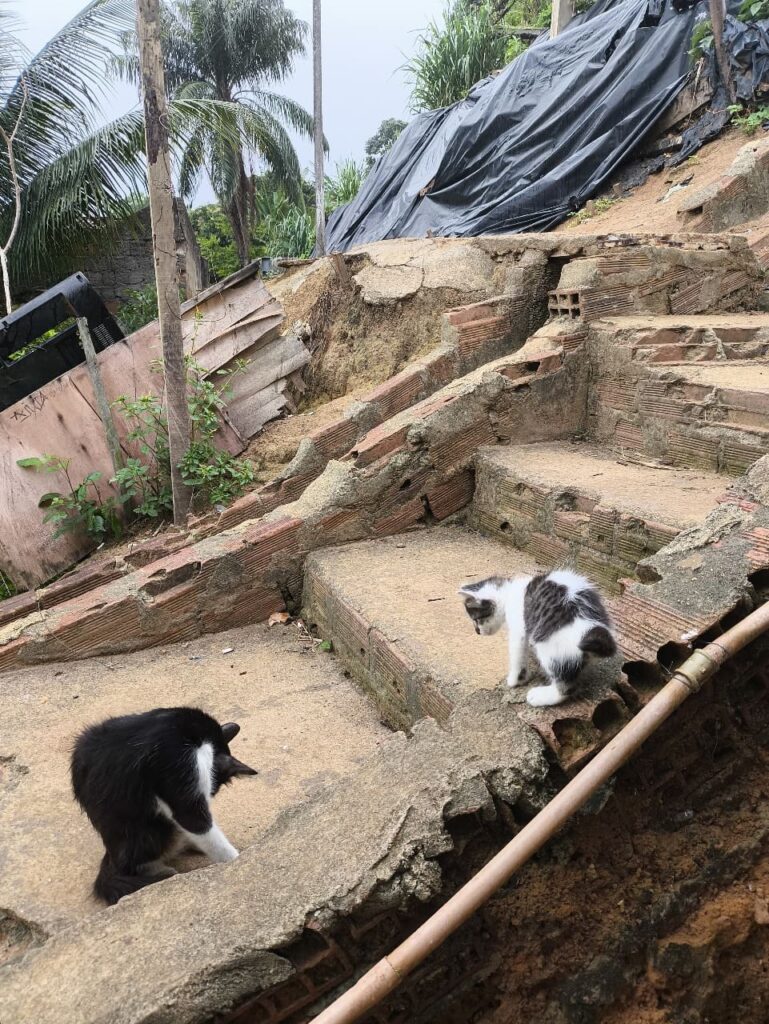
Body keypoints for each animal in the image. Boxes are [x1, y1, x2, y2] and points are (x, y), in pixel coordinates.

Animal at [70, 704, 255, 905]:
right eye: (211, 791)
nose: (209, 799)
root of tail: (111, 856)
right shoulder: (179, 767)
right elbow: (197, 824)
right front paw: (235, 860)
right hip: (147, 832)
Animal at [460, 569, 618, 704]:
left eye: (476, 619)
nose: (477, 631)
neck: (510, 592)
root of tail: (589, 626)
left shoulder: (519, 630)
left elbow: (516, 656)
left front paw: (515, 680)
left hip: (549, 648)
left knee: (566, 687)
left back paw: (540, 696)